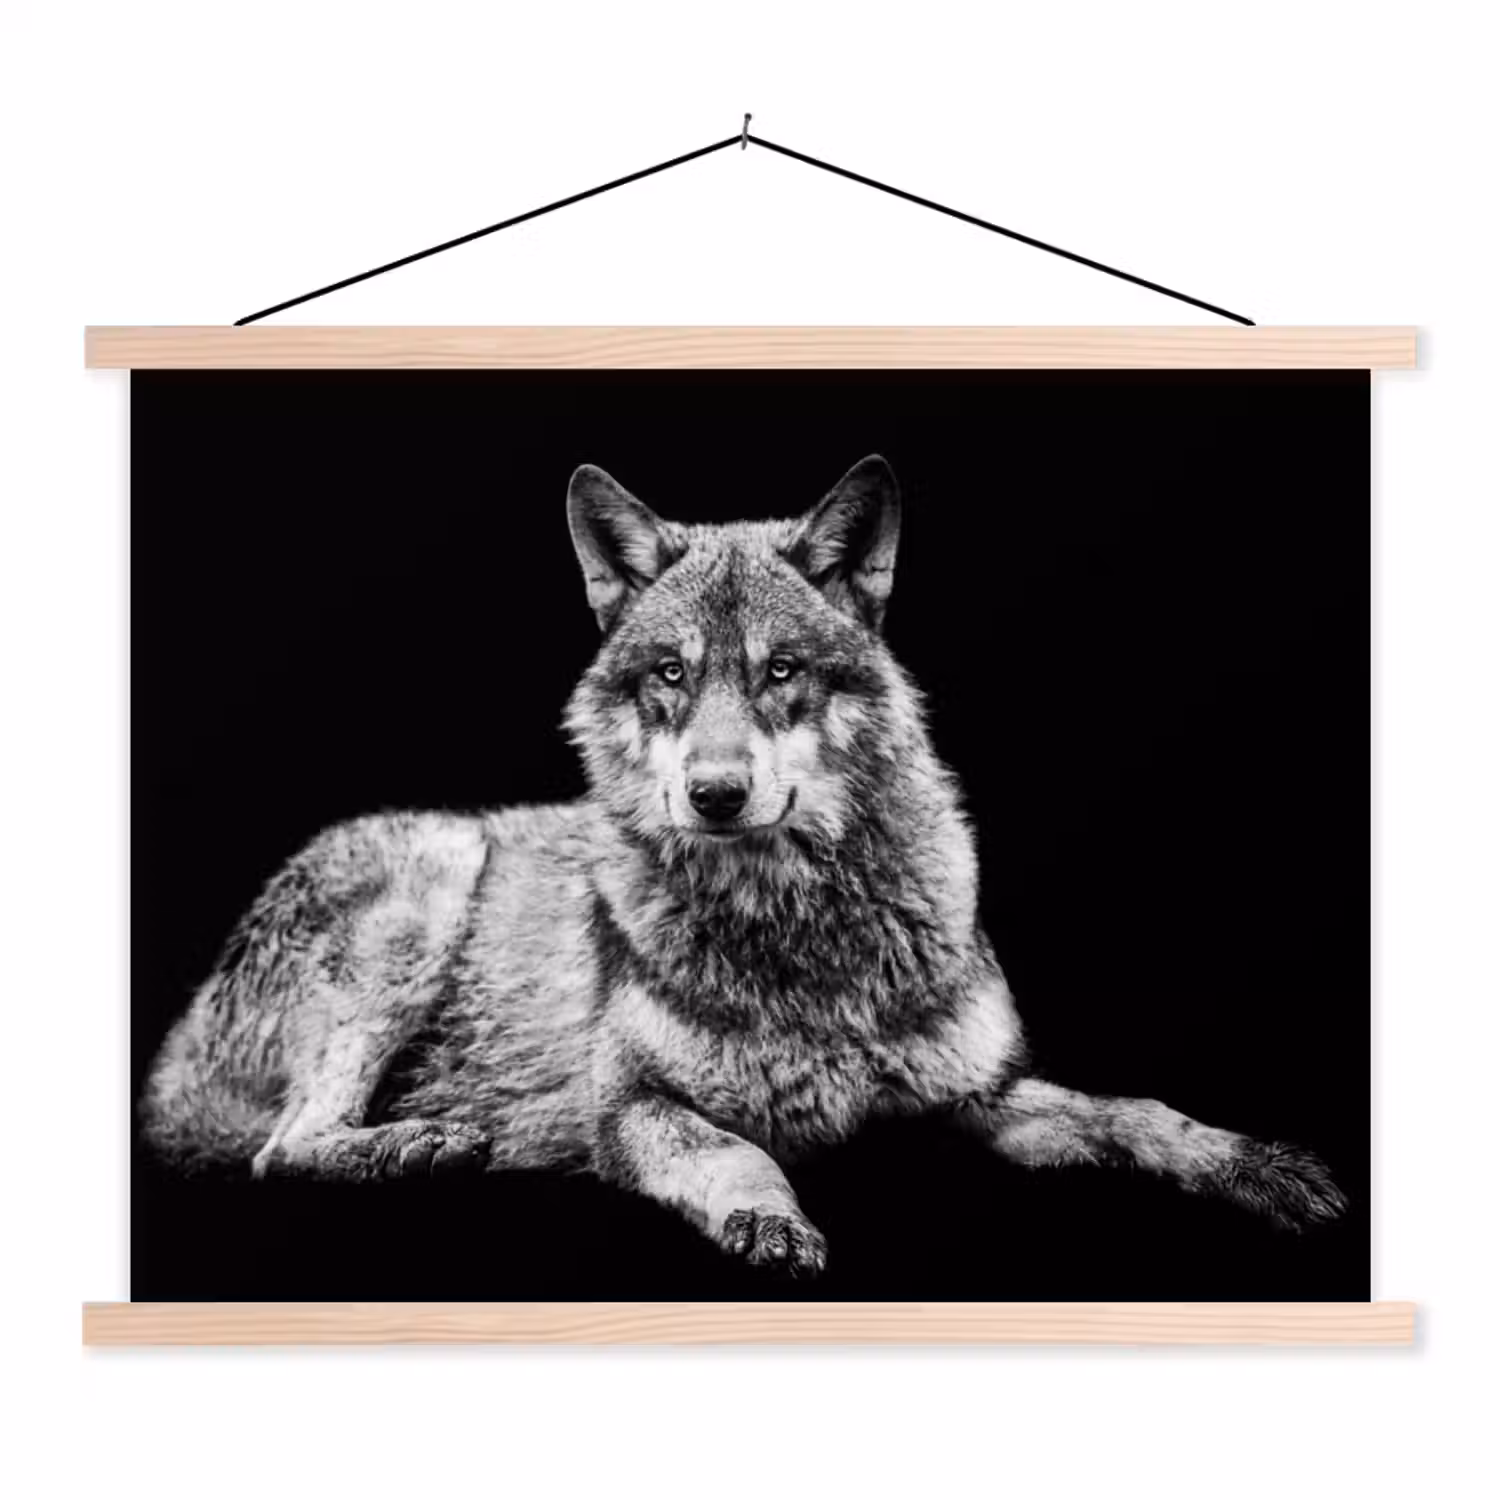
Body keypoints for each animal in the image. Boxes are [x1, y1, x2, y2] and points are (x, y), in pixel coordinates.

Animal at [142, 454, 1346, 1275]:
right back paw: (419, 1146)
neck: (801, 934)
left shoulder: (980, 1094)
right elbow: (737, 1154)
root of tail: (176, 1048)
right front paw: (770, 1220)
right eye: (672, 674)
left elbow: (1139, 1112)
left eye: (780, 672)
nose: (714, 794)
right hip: (428, 884)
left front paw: (1259, 1166)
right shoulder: (631, 1110)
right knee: (280, 1149)